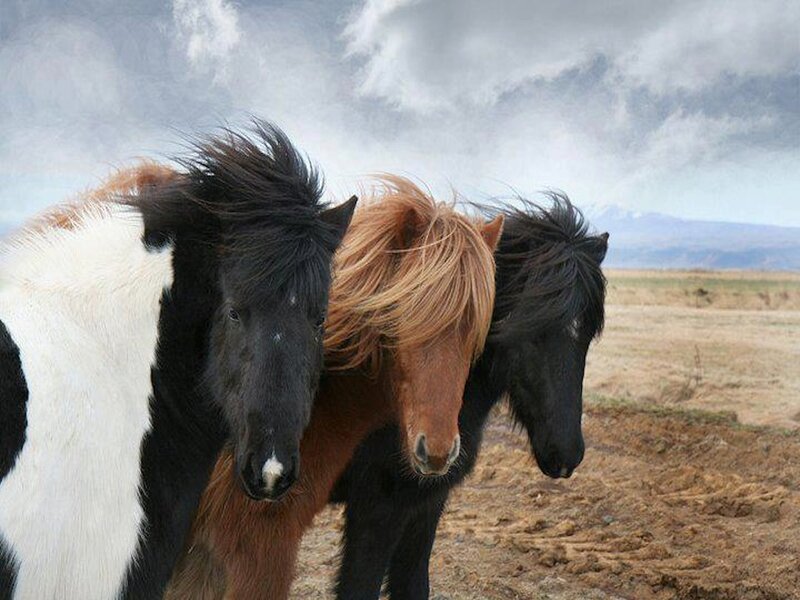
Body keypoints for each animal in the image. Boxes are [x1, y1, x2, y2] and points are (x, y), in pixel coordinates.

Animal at [330, 193, 608, 599]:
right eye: (530, 328)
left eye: (588, 332)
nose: (566, 454)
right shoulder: (376, 511)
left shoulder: (425, 506)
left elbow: (414, 585)